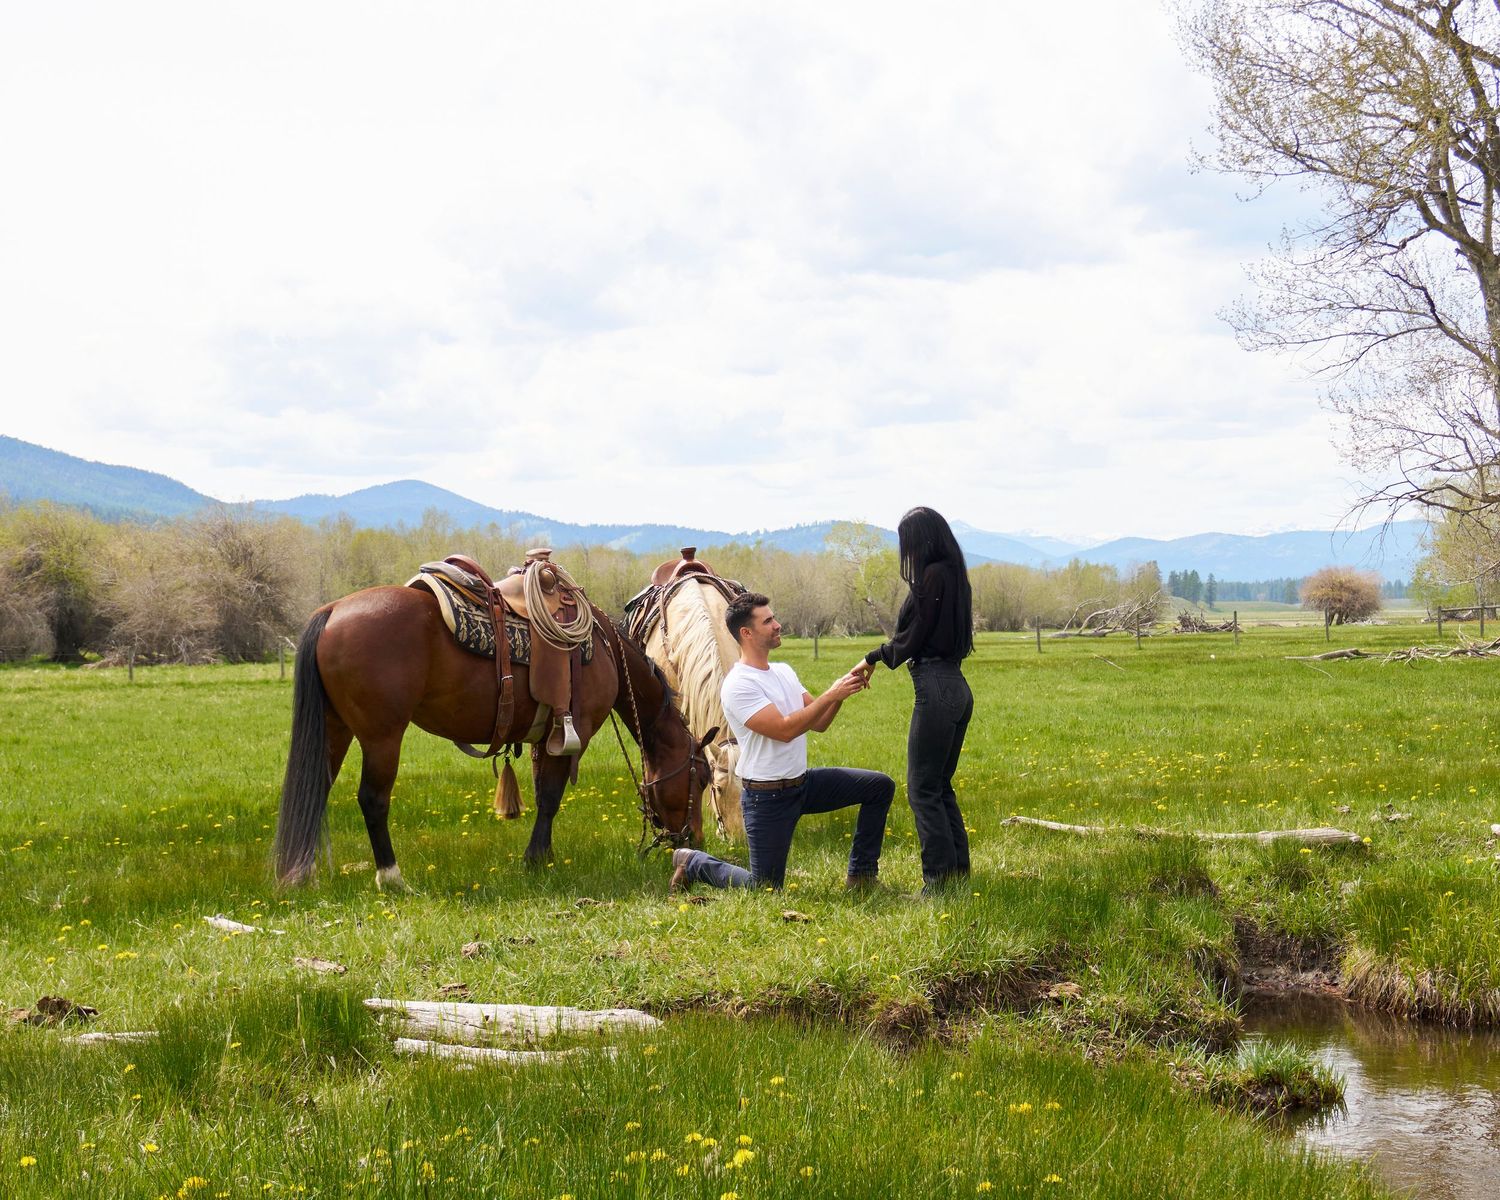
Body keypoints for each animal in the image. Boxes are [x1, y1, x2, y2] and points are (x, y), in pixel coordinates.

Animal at [273, 583, 712, 890]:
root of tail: (331, 611)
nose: (694, 838)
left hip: (336, 729)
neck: (604, 650)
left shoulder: (544, 737)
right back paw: (393, 878)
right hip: (382, 737)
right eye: (703, 778)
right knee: (372, 800)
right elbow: (550, 797)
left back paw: (303, 875)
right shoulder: (573, 733)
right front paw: (536, 859)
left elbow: (543, 793)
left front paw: (544, 855)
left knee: (315, 790)